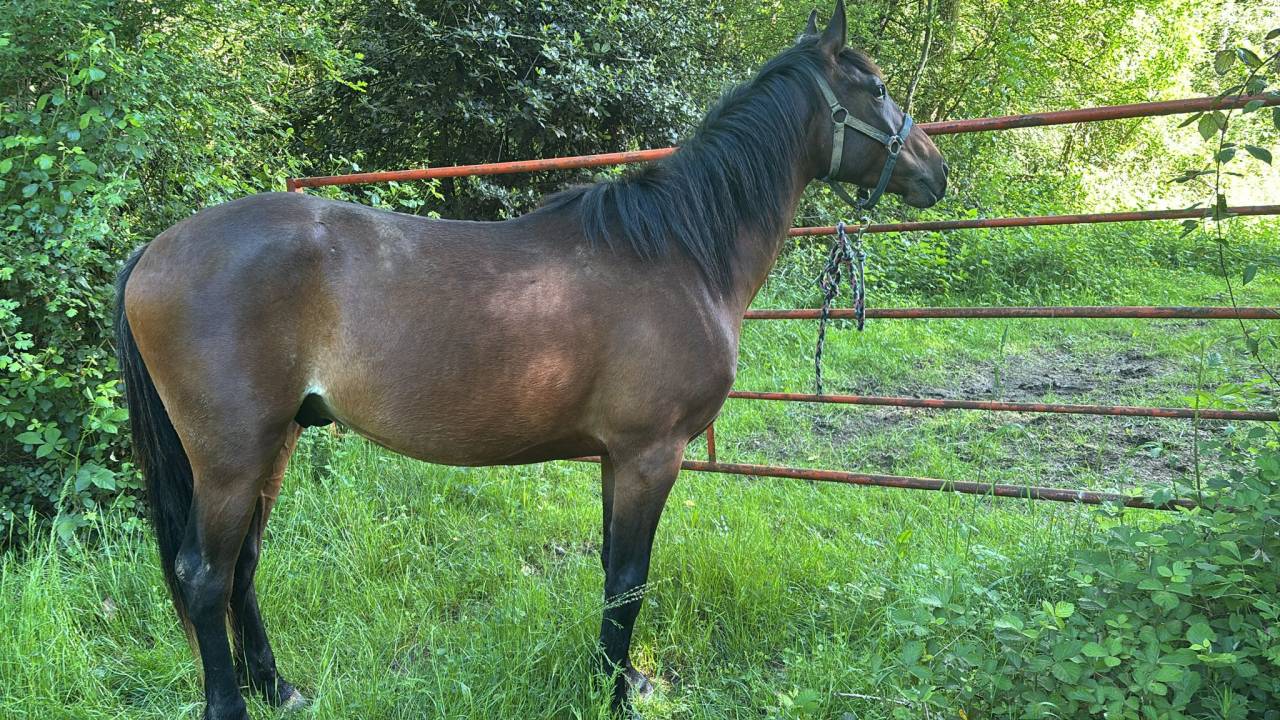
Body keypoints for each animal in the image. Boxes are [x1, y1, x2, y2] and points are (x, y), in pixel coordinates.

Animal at [115, 2, 946, 717]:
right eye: (874, 87)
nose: (936, 170)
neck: (677, 251)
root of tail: (154, 252)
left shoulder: (617, 457)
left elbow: (611, 572)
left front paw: (619, 678)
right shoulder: (650, 454)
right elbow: (629, 579)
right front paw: (617, 694)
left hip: (275, 441)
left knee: (242, 568)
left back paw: (276, 687)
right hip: (232, 456)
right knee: (205, 576)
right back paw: (231, 704)